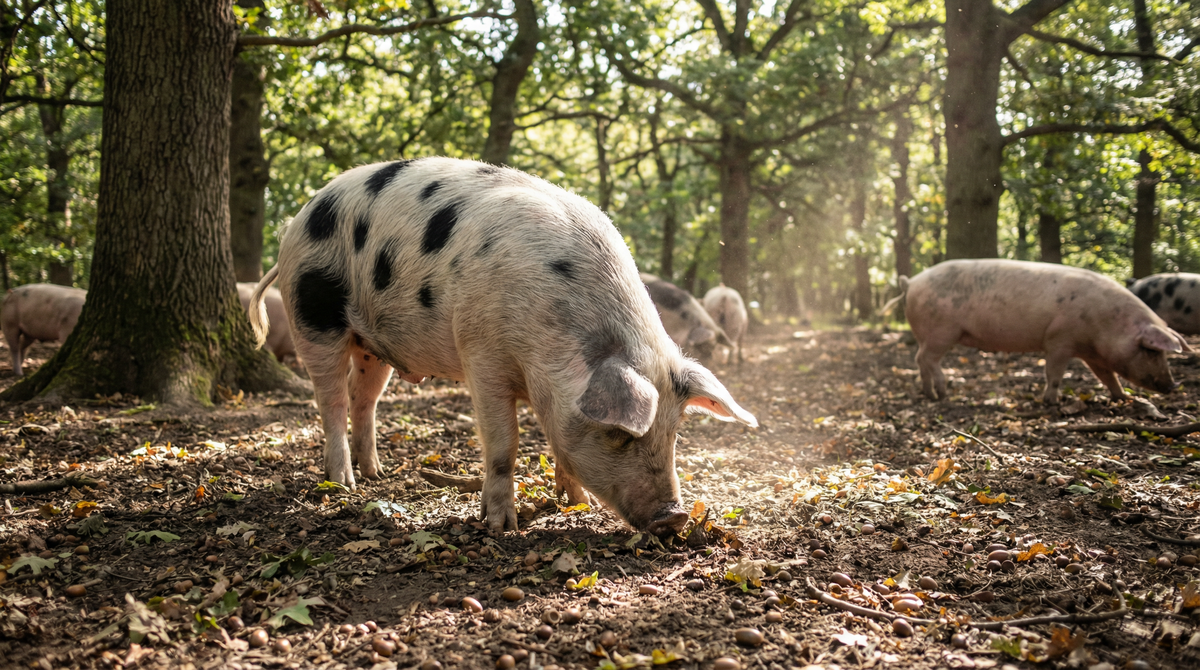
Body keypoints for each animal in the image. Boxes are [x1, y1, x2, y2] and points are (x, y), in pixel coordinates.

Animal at [248, 157, 757, 535]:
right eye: (618, 433)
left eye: (674, 432)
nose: (675, 517)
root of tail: (295, 223)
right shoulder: (481, 355)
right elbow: (504, 443)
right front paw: (501, 526)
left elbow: (555, 440)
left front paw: (578, 504)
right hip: (314, 317)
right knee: (331, 401)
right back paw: (344, 483)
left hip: (373, 345)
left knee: (364, 399)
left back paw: (376, 473)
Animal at [885, 260, 1190, 403]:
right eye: (1151, 351)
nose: (1173, 385)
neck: (1105, 323)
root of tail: (911, 282)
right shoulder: (1059, 340)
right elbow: (1053, 373)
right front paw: (1052, 402)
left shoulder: (1093, 353)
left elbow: (1108, 376)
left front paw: (1123, 398)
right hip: (941, 332)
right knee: (926, 359)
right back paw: (941, 394)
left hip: (931, 334)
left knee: (920, 360)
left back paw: (930, 393)